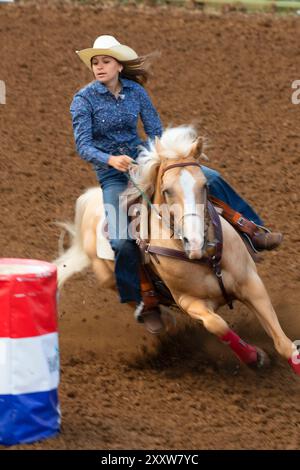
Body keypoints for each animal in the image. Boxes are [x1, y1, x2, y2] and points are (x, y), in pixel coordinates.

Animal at [54, 126, 300, 376]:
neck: (206, 257)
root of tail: (91, 200)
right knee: (138, 300)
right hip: (110, 281)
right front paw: (255, 357)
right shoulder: (190, 302)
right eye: (167, 191)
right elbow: (218, 325)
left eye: (205, 186)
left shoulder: (251, 283)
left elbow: (283, 343)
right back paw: (158, 319)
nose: (194, 240)